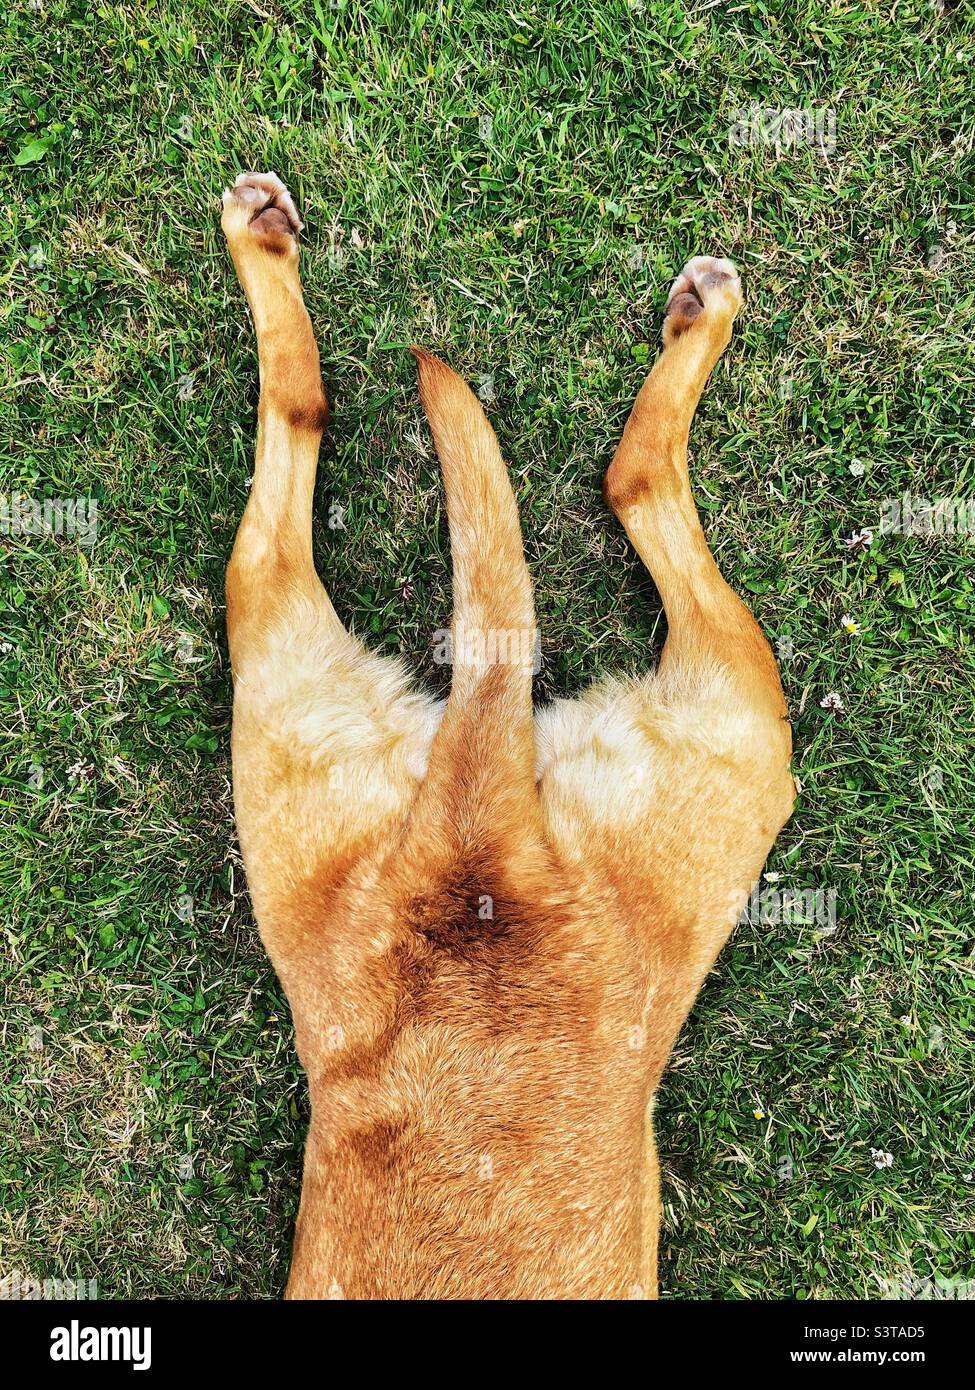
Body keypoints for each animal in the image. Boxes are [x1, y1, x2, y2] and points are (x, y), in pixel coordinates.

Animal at [218, 173, 790, 1301]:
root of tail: (470, 825)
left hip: (282, 699)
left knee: (291, 445)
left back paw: (257, 242)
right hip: (746, 734)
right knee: (637, 477)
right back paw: (704, 317)